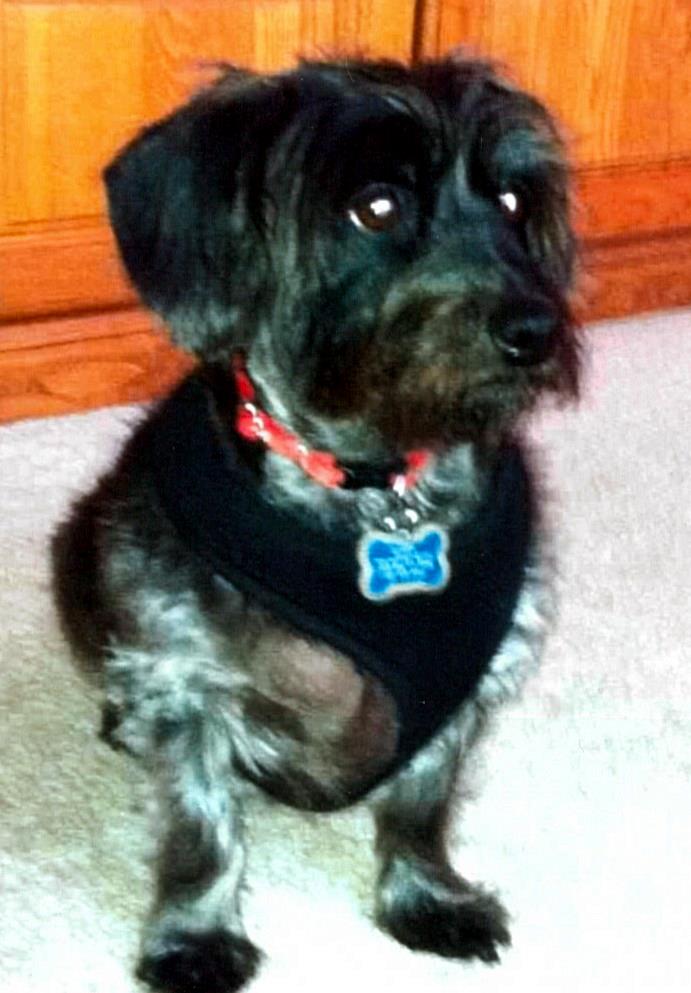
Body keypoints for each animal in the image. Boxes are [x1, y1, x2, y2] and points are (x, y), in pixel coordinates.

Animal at [53, 53, 579, 993]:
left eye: (515, 201)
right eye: (376, 206)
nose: (538, 328)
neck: (377, 486)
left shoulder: (467, 684)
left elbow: (420, 806)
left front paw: (426, 897)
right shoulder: (184, 682)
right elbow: (199, 830)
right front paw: (193, 935)